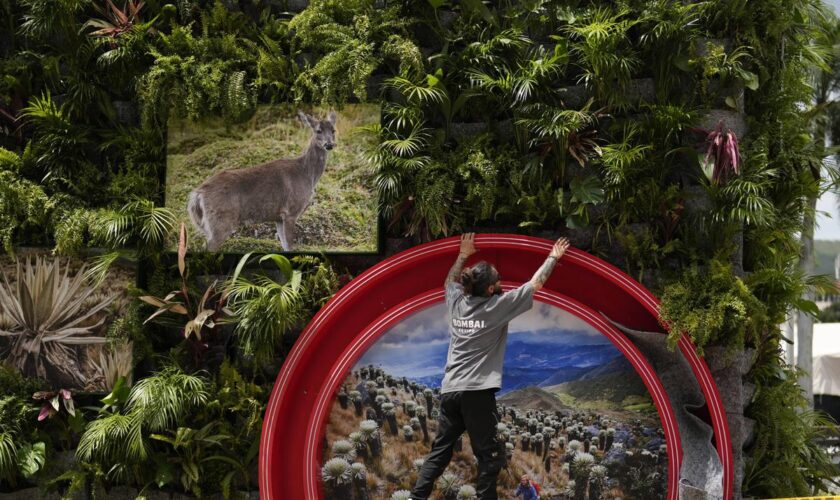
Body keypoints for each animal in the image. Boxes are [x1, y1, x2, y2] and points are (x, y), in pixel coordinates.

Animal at [189, 109, 336, 250]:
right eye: (318, 130)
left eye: (333, 130)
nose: (329, 144)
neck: (306, 173)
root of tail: (198, 194)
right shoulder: (291, 211)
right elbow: (290, 246)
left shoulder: (279, 217)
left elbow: (285, 246)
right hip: (221, 220)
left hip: (205, 224)